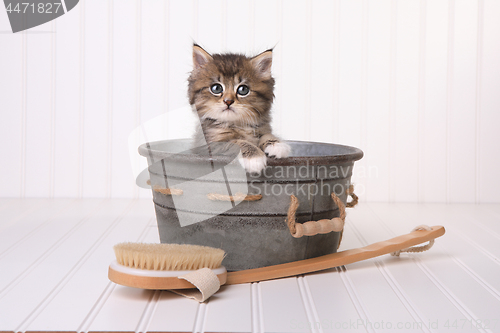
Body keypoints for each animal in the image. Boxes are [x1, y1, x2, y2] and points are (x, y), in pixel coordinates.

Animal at [188, 43, 290, 174]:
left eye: (243, 90)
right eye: (216, 88)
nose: (228, 101)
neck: (238, 124)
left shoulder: (262, 127)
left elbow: (267, 135)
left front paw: (276, 145)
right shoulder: (209, 145)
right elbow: (238, 142)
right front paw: (254, 158)